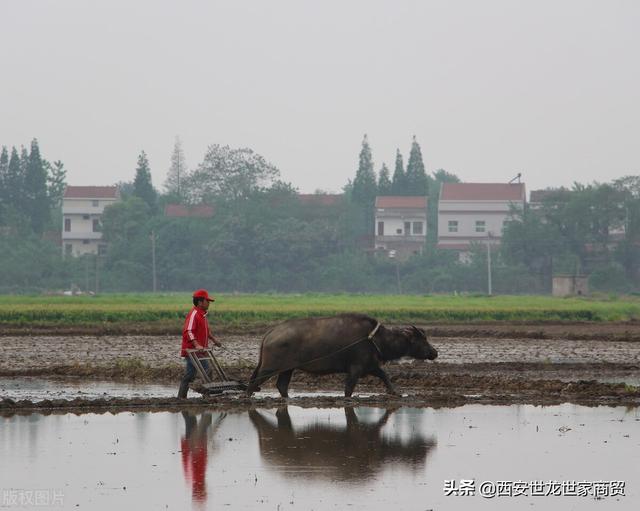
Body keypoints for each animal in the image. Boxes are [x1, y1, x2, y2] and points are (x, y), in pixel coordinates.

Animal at [244, 312, 436, 400]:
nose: (435, 352)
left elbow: (384, 375)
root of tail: (270, 333)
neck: (375, 339)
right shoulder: (356, 369)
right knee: (254, 382)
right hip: (270, 367)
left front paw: (394, 392)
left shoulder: (371, 366)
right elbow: (349, 388)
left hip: (288, 369)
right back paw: (246, 396)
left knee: (281, 385)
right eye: (422, 339)